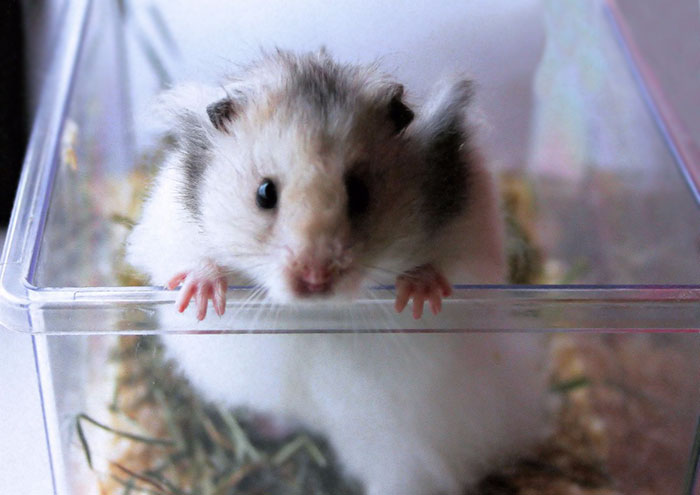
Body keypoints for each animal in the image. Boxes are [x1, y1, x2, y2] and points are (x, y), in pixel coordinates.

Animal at [126, 51, 549, 495]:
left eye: (360, 193)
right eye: (264, 193)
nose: (314, 281)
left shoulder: (477, 233)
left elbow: (452, 266)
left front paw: (417, 295)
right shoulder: (168, 225)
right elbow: (187, 259)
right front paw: (202, 298)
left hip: (406, 452)